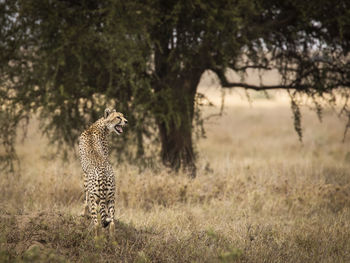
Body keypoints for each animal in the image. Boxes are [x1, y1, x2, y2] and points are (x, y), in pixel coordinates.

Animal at [78, 108, 128, 236]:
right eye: (118, 117)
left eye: (123, 116)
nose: (126, 121)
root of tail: (103, 175)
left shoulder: (84, 174)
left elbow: (85, 196)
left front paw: (83, 213)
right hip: (111, 197)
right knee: (112, 223)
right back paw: (113, 239)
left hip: (95, 197)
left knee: (96, 223)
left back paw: (95, 238)